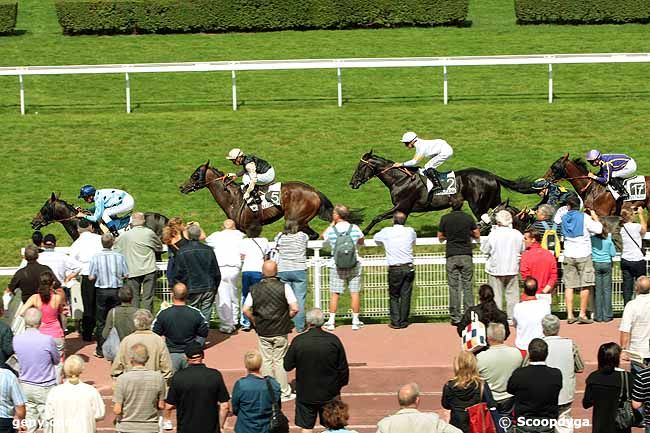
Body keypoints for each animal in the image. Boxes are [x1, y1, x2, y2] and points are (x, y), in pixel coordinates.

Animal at [180, 160, 360, 238]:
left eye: (195, 175)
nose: (182, 187)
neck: (233, 199)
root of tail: (315, 191)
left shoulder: (251, 228)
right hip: (302, 221)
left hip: (294, 220)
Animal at [352, 151, 536, 233]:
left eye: (360, 167)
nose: (352, 183)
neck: (401, 180)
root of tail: (492, 175)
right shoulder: (404, 209)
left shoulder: (402, 205)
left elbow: (378, 217)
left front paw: (364, 232)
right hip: (492, 200)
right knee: (506, 209)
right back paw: (524, 222)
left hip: (478, 204)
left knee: (486, 218)